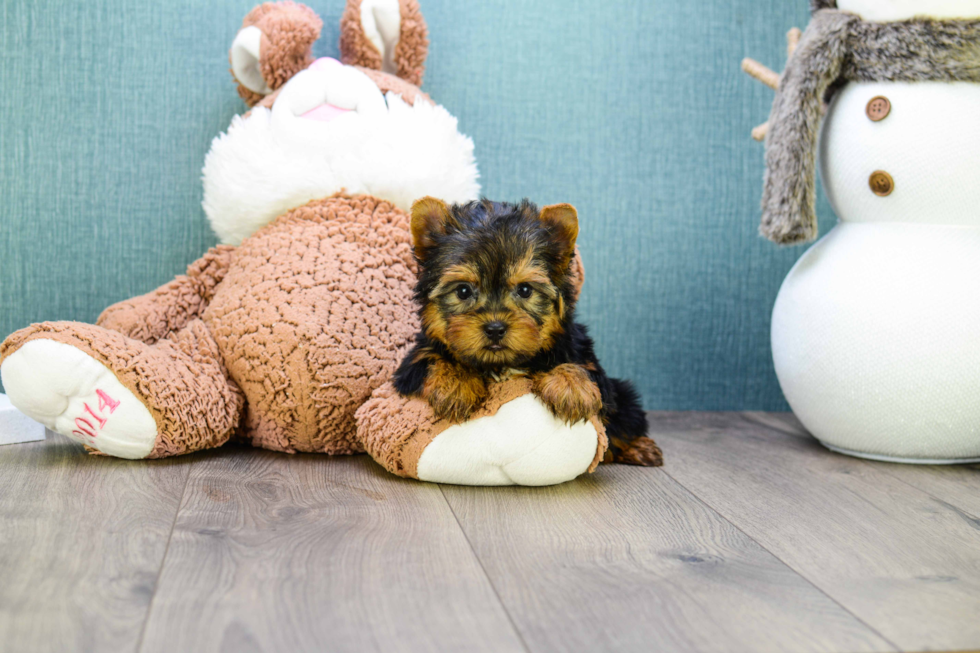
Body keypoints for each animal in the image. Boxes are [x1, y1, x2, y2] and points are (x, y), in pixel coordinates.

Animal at [394, 196, 664, 466]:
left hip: (624, 395)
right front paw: (457, 383)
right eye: (463, 291)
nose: (495, 328)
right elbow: (433, 358)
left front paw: (571, 387)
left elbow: (579, 367)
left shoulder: (584, 356)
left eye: (525, 290)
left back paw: (638, 447)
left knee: (625, 419)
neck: (500, 365)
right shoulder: (412, 363)